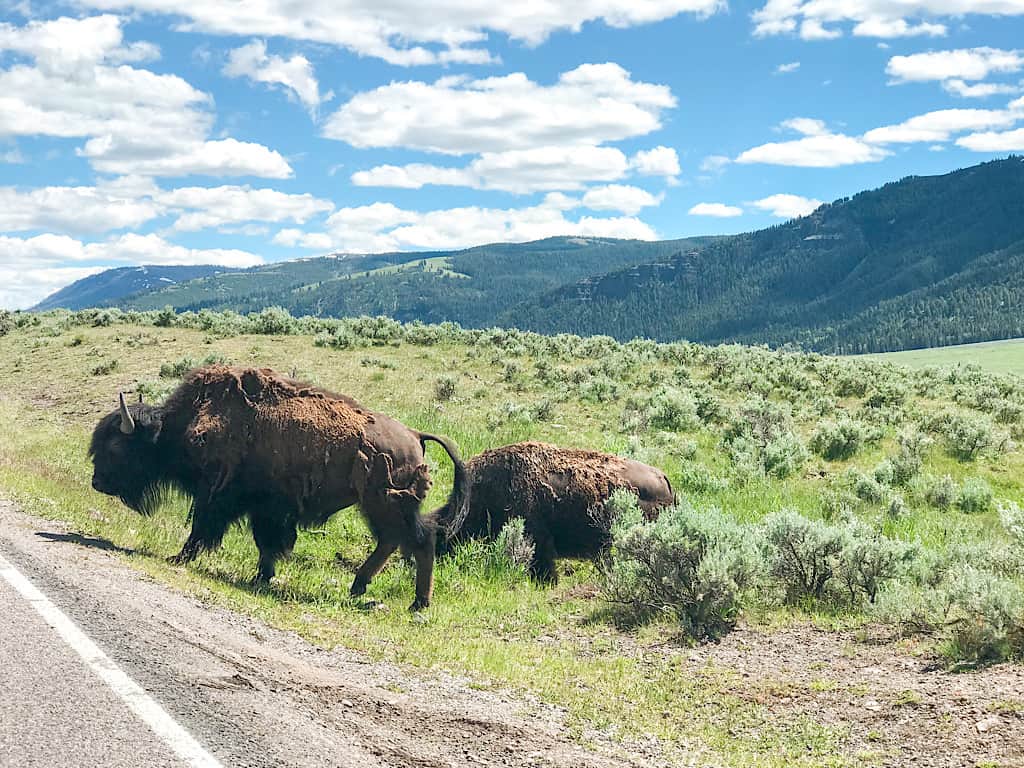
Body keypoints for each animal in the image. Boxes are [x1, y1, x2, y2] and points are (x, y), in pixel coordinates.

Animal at [90, 366, 466, 614]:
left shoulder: (221, 499)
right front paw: (263, 576)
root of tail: (415, 434)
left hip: (386, 503)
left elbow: (206, 531)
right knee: (391, 541)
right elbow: (265, 543)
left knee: (420, 541)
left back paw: (417, 604)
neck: (183, 425)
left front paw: (179, 558)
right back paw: (358, 587)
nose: (97, 482)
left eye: (116, 446)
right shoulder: (264, 509)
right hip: (377, 506)